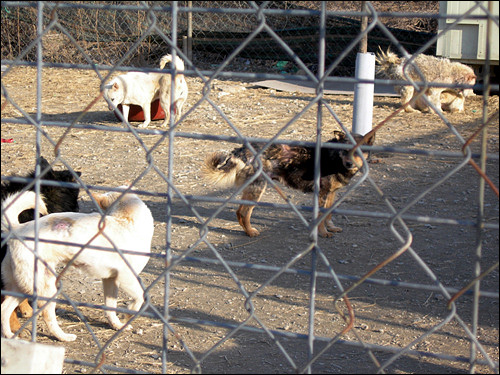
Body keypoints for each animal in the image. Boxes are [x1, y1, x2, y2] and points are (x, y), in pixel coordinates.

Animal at [0, 187, 154, 342]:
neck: (126, 221)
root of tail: (17, 229)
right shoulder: (126, 277)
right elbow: (140, 296)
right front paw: (129, 314)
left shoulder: (110, 280)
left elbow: (110, 307)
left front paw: (117, 325)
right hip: (46, 287)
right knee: (48, 316)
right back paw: (63, 337)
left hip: (21, 287)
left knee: (4, 309)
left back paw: (10, 335)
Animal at [203, 131, 376, 238]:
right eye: (345, 150)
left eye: (359, 151)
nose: (349, 164)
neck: (335, 158)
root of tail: (241, 150)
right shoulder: (322, 194)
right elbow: (320, 217)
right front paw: (323, 233)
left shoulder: (331, 193)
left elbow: (329, 214)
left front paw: (331, 227)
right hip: (258, 189)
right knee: (244, 212)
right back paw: (251, 232)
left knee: (240, 212)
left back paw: (247, 231)